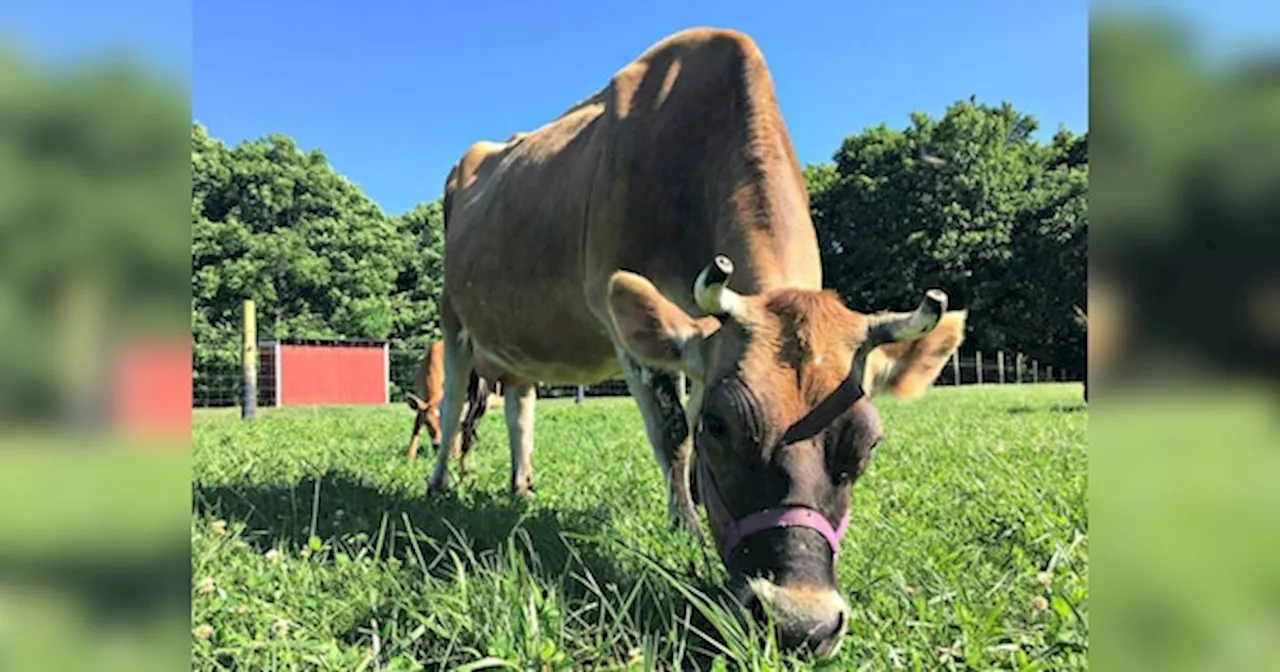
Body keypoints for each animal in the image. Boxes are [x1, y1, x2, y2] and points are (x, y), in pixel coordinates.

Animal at [424, 27, 962, 655]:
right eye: (721, 426)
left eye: (869, 443)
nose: (799, 623)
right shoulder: (632, 326)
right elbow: (672, 432)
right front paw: (685, 528)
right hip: (453, 318)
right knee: (452, 406)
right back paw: (437, 484)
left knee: (520, 410)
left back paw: (522, 487)